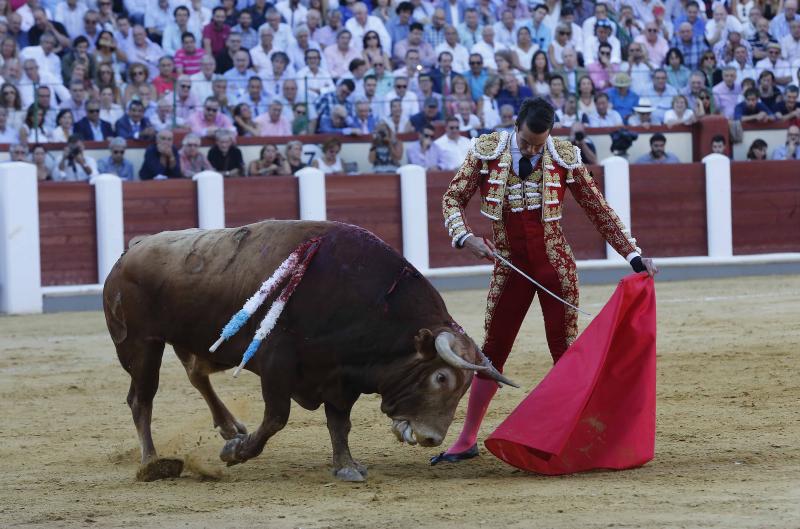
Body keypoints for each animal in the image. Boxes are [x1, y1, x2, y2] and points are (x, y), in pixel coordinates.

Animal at [104, 221, 512, 480]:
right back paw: (153, 462)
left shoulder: (340, 377)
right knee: (141, 398)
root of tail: (132, 249)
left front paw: (346, 466)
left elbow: (339, 423)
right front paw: (236, 453)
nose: (432, 439)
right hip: (141, 345)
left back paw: (229, 426)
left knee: (195, 374)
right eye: (440, 377)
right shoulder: (277, 366)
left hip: (200, 343)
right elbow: (277, 418)